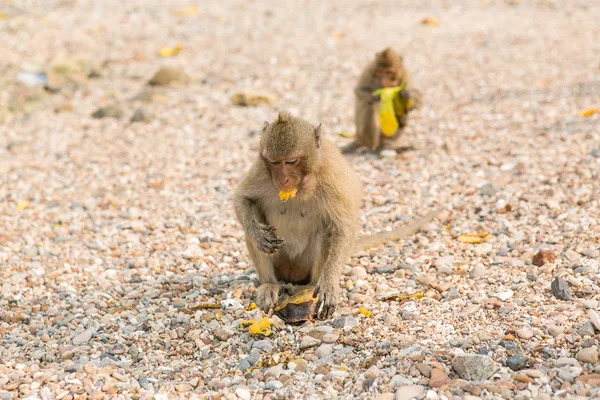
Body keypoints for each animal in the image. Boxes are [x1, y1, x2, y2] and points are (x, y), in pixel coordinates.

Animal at [233, 110, 436, 318]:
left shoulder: (331, 177)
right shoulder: (261, 170)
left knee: (326, 233)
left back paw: (309, 287)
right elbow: (243, 198)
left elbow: (343, 227)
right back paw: (269, 284)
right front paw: (259, 235)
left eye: (290, 161)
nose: (282, 180)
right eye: (273, 162)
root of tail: (292, 276)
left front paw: (329, 285)